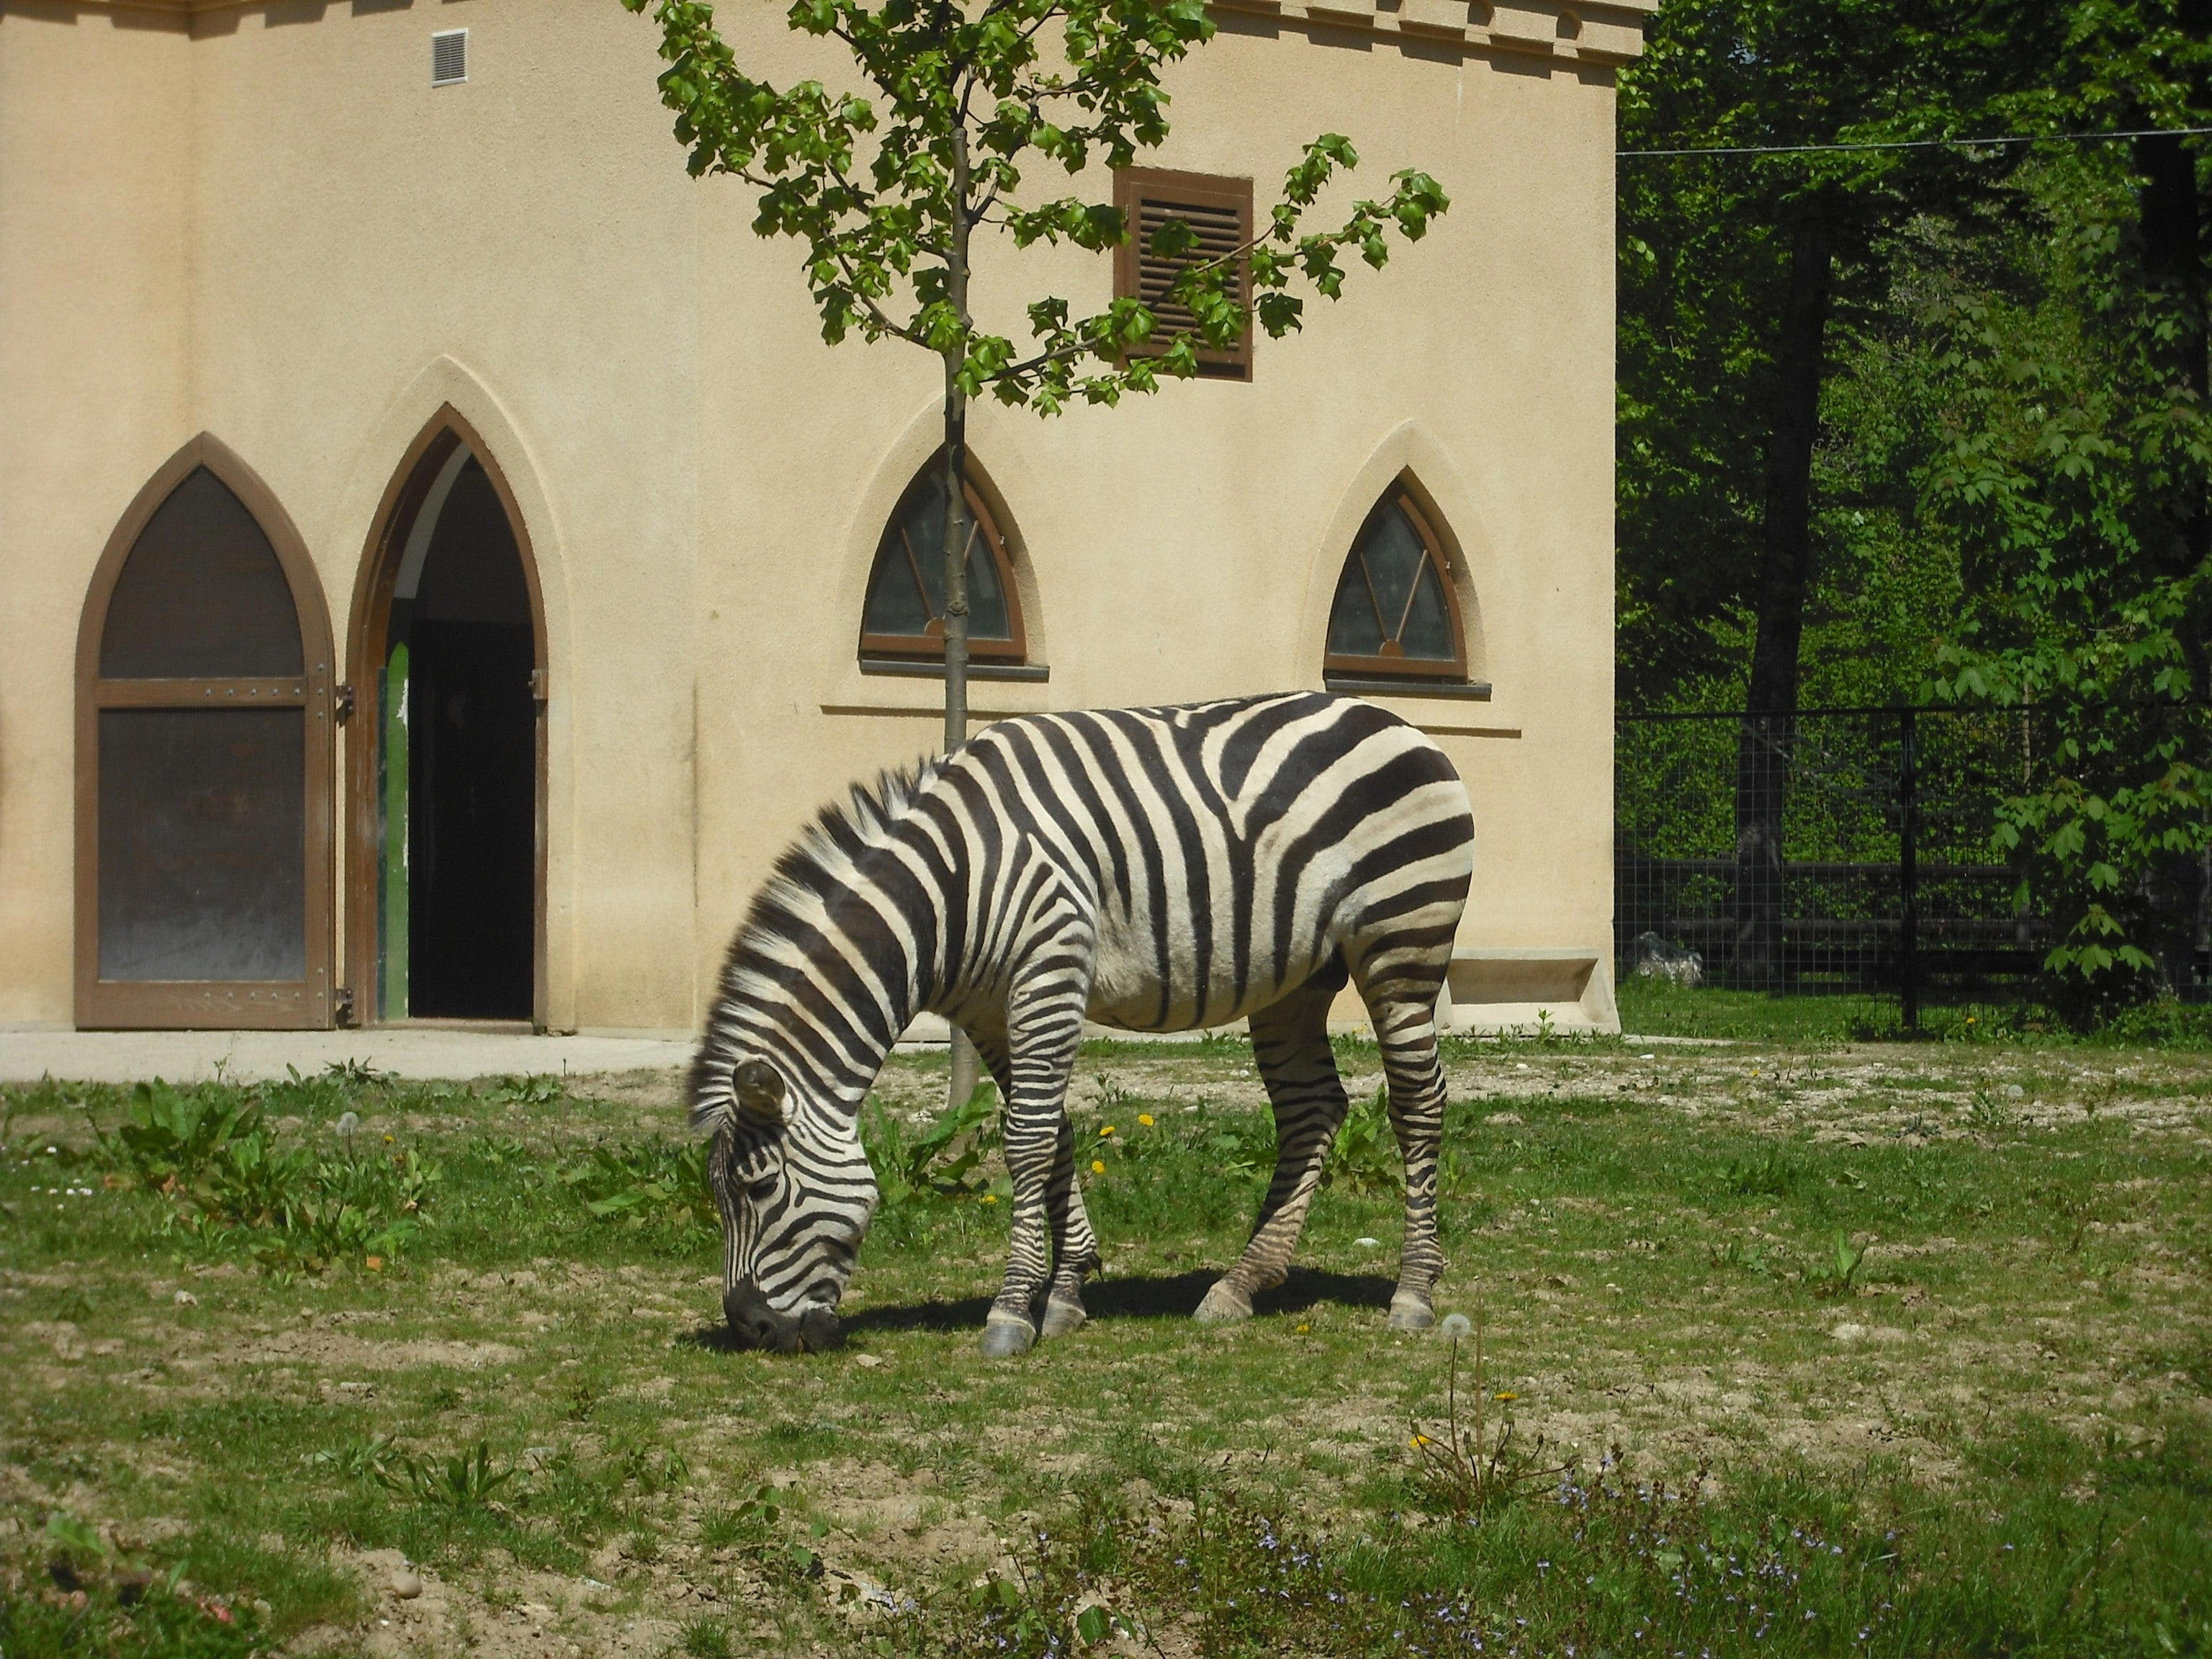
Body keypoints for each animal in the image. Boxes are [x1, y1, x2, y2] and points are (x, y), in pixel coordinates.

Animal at [698, 694, 1478, 1354]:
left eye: (758, 1189)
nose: (749, 1328)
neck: (952, 887)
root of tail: (1393, 720)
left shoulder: (1048, 975)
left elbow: (1026, 1142)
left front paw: (1012, 1311)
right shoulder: (991, 1011)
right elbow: (1057, 1137)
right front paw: (1068, 1290)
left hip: (1401, 941)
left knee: (1418, 1102)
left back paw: (1413, 1291)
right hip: (1298, 977)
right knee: (1311, 1109)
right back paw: (1240, 1284)